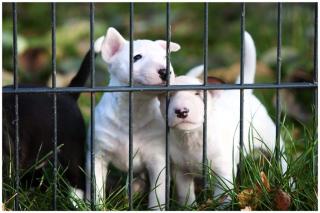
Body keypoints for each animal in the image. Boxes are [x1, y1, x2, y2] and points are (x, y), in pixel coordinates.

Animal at [86, 27, 181, 210]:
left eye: (166, 58)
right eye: (136, 57)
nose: (166, 72)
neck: (134, 110)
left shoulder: (158, 158)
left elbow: (158, 192)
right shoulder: (97, 155)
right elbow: (96, 186)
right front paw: (96, 206)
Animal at [160, 31, 288, 205]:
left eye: (198, 94)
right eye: (169, 96)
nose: (181, 111)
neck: (192, 138)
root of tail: (244, 93)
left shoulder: (223, 171)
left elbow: (223, 195)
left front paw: (220, 206)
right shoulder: (181, 172)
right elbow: (185, 195)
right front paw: (189, 207)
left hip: (269, 138)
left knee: (281, 157)